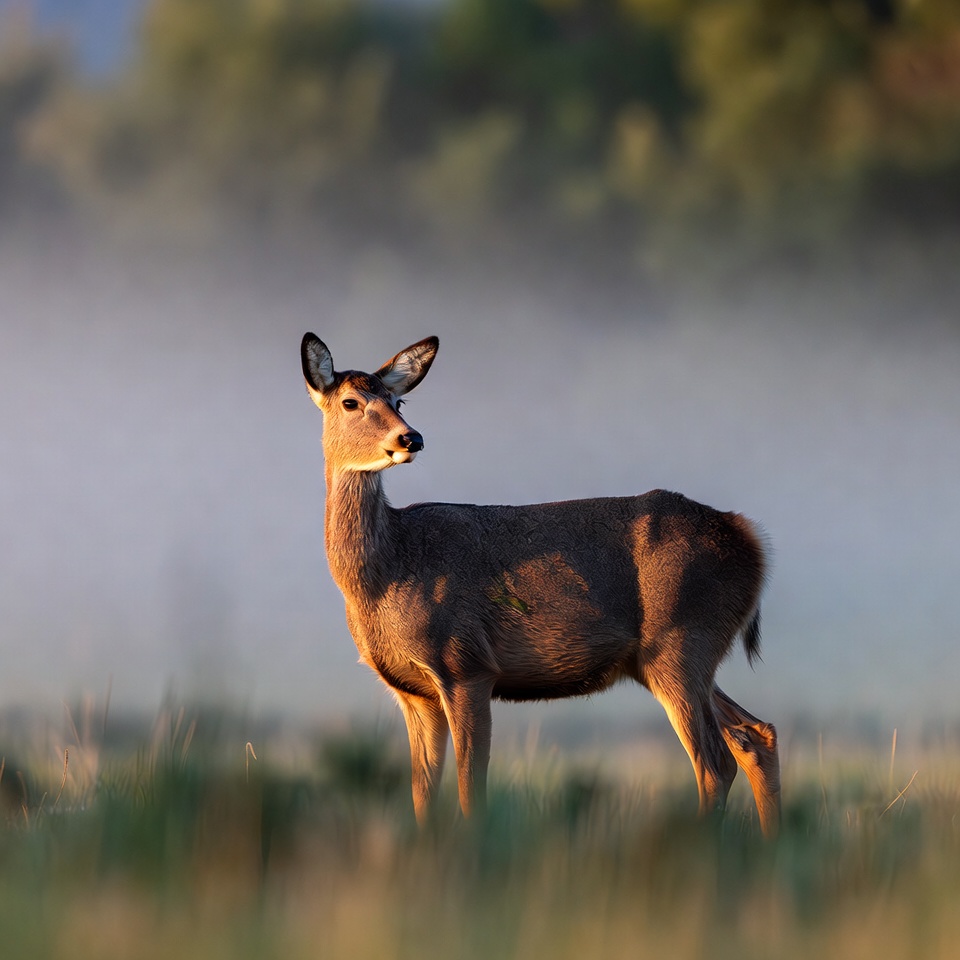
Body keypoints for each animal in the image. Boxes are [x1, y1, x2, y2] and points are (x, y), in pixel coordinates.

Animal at [301, 333, 781, 837]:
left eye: (399, 400)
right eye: (351, 401)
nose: (410, 437)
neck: (388, 571)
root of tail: (749, 537)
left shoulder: (466, 665)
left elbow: (472, 789)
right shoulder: (413, 691)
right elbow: (422, 796)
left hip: (680, 641)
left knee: (715, 761)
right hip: (675, 655)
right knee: (755, 735)